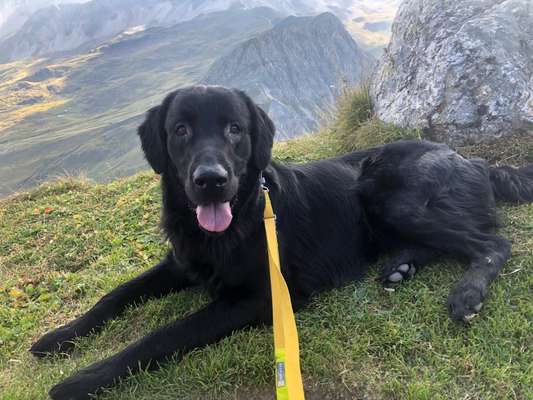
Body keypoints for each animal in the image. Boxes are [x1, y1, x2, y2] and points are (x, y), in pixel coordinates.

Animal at [30, 86, 532, 398]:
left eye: (234, 129)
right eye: (181, 130)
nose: (210, 180)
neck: (236, 222)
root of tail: (473, 160)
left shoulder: (258, 297)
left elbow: (164, 334)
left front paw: (84, 378)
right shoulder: (180, 262)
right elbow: (114, 296)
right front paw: (60, 337)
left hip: (388, 198)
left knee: (492, 243)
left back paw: (467, 292)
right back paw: (401, 267)